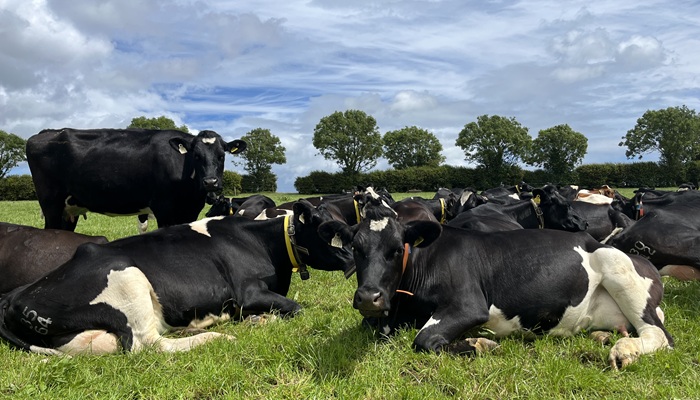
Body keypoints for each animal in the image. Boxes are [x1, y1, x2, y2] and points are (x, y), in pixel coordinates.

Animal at [0, 200, 354, 355]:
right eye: (328, 230)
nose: (354, 259)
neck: (261, 240)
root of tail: (17, 300)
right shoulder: (248, 293)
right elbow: (296, 308)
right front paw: (260, 320)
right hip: (129, 278)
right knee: (149, 343)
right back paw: (215, 336)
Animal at [26, 128, 246, 232]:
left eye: (221, 155)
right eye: (196, 155)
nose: (211, 182)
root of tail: (44, 133)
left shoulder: (190, 210)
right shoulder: (163, 208)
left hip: (69, 209)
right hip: (51, 204)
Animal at [319, 205, 673, 369]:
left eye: (396, 249)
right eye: (356, 248)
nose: (370, 297)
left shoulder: (468, 304)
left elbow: (424, 339)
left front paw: (480, 343)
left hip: (619, 272)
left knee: (659, 335)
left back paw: (623, 350)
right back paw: (603, 337)